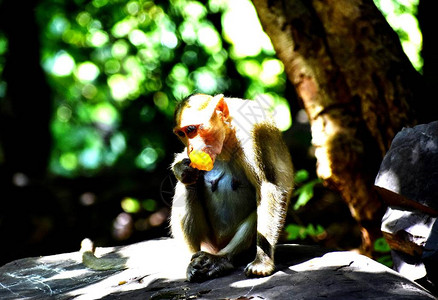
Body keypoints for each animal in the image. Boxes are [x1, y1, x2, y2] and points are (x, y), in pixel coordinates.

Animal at [171, 93, 294, 282]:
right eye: (181, 133)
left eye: (191, 129)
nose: (191, 147)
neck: (228, 135)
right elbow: (185, 166)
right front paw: (182, 169)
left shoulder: (256, 130)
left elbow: (269, 187)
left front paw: (262, 262)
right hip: (208, 240)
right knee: (187, 186)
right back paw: (192, 262)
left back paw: (222, 259)